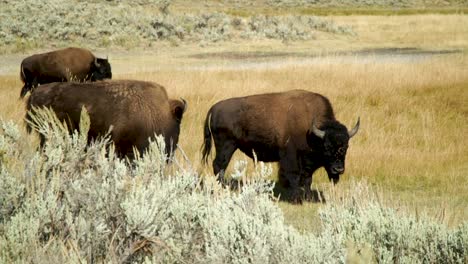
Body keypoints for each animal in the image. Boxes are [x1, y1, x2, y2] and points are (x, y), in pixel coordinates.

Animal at [201, 89, 358, 203]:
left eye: (346, 146)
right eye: (327, 147)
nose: (339, 169)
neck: (312, 132)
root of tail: (214, 108)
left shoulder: (307, 164)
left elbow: (308, 179)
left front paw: (307, 198)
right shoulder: (291, 158)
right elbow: (294, 177)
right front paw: (296, 199)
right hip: (226, 146)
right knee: (219, 165)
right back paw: (222, 187)